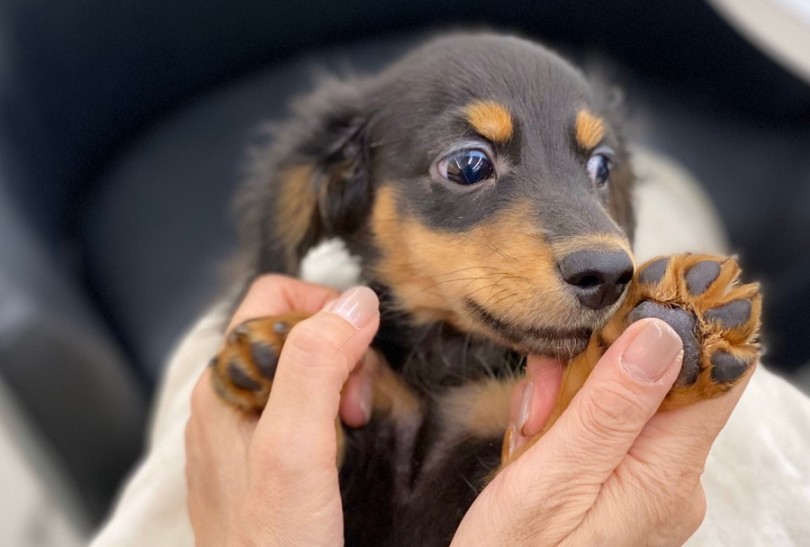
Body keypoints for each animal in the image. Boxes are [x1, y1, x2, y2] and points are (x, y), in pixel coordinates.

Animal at [207, 34, 756, 547]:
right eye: (468, 165)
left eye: (601, 167)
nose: (609, 276)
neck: (447, 373)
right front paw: (269, 350)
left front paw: (683, 319)